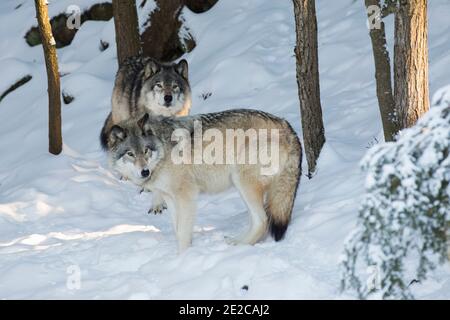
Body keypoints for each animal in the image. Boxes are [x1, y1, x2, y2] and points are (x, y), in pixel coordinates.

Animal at [104, 110, 302, 252]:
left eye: (146, 150)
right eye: (130, 154)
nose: (144, 171)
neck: (163, 150)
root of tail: (287, 126)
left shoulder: (187, 196)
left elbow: (183, 232)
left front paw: (183, 259)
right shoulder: (170, 198)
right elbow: (177, 229)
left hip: (242, 181)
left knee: (262, 220)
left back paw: (239, 246)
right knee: (257, 220)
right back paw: (236, 241)